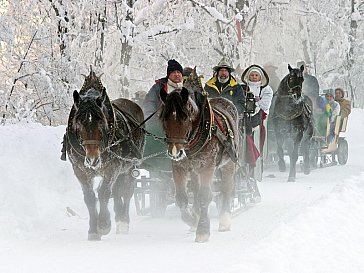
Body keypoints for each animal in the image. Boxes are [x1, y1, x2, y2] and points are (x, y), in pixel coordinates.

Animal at [65, 69, 145, 239]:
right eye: (78, 123)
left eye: (101, 122)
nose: (93, 160)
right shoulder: (80, 170)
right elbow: (90, 197)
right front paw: (93, 230)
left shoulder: (112, 168)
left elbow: (104, 193)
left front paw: (103, 224)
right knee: (117, 191)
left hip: (129, 168)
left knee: (127, 191)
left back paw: (123, 221)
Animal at [159, 84, 239, 240]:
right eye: (164, 118)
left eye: (185, 117)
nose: (175, 152)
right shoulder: (179, 167)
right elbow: (181, 199)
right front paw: (192, 220)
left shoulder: (207, 167)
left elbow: (205, 196)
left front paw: (202, 230)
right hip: (194, 170)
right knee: (195, 191)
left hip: (229, 163)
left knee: (226, 188)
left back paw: (225, 220)